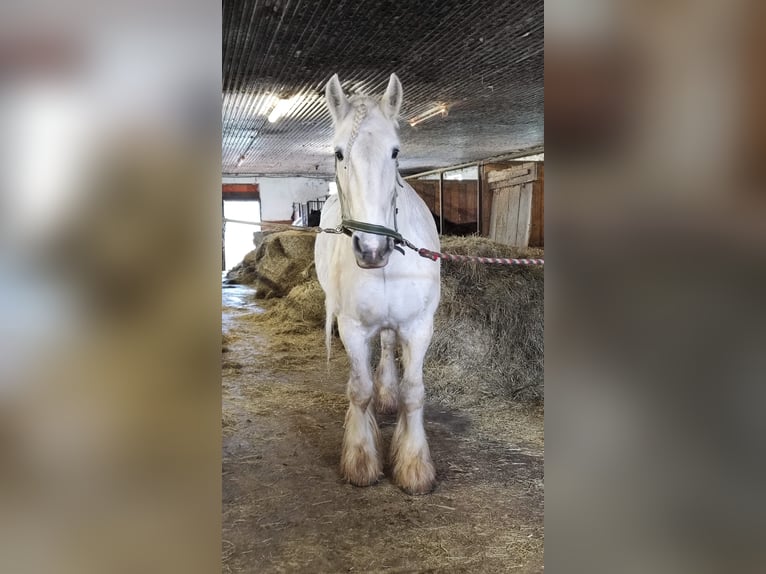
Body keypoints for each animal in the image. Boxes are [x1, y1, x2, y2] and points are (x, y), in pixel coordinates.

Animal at [314, 74, 441, 495]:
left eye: (395, 151)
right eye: (339, 153)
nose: (372, 249)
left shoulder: (418, 327)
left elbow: (414, 393)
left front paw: (415, 467)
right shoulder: (352, 328)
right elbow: (360, 390)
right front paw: (360, 460)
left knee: (386, 345)